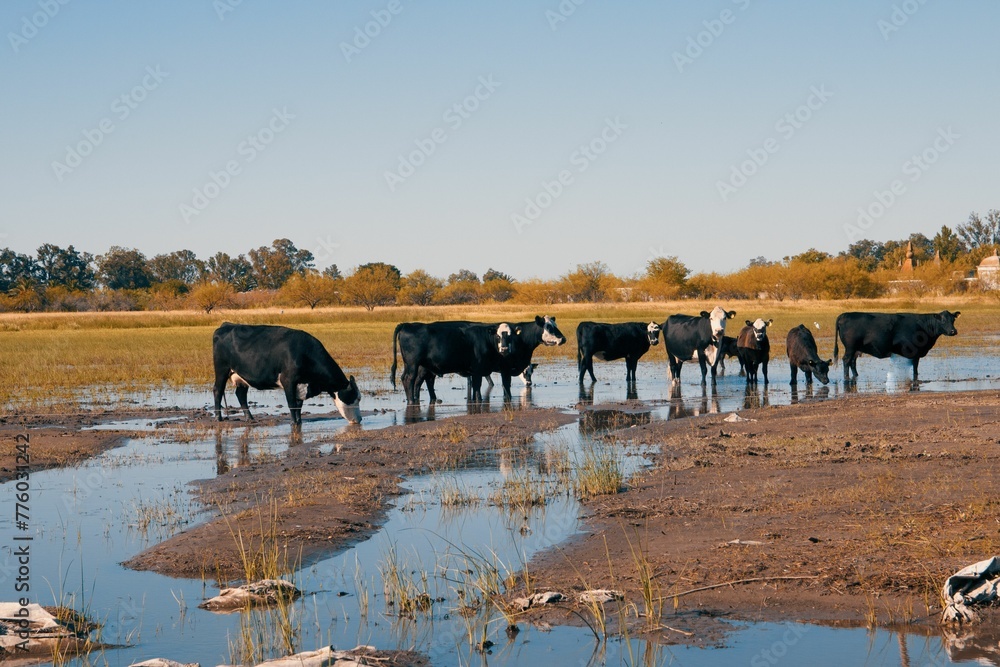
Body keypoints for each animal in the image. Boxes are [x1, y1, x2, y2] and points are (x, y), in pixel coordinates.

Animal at [212, 324, 364, 428]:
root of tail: (225, 326)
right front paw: (293, 423)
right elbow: (291, 404)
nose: (360, 419)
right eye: (357, 398)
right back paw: (219, 418)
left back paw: (250, 418)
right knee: (218, 390)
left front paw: (299, 421)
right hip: (222, 369)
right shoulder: (288, 380)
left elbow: (298, 405)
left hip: (241, 376)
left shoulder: (301, 385)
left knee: (241, 394)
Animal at [828, 310, 960, 378]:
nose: (953, 331)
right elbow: (915, 368)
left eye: (953, 320)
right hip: (850, 348)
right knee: (846, 360)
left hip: (856, 349)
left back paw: (856, 375)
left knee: (852, 362)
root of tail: (844, 314)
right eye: (943, 320)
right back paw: (846, 378)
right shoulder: (915, 351)